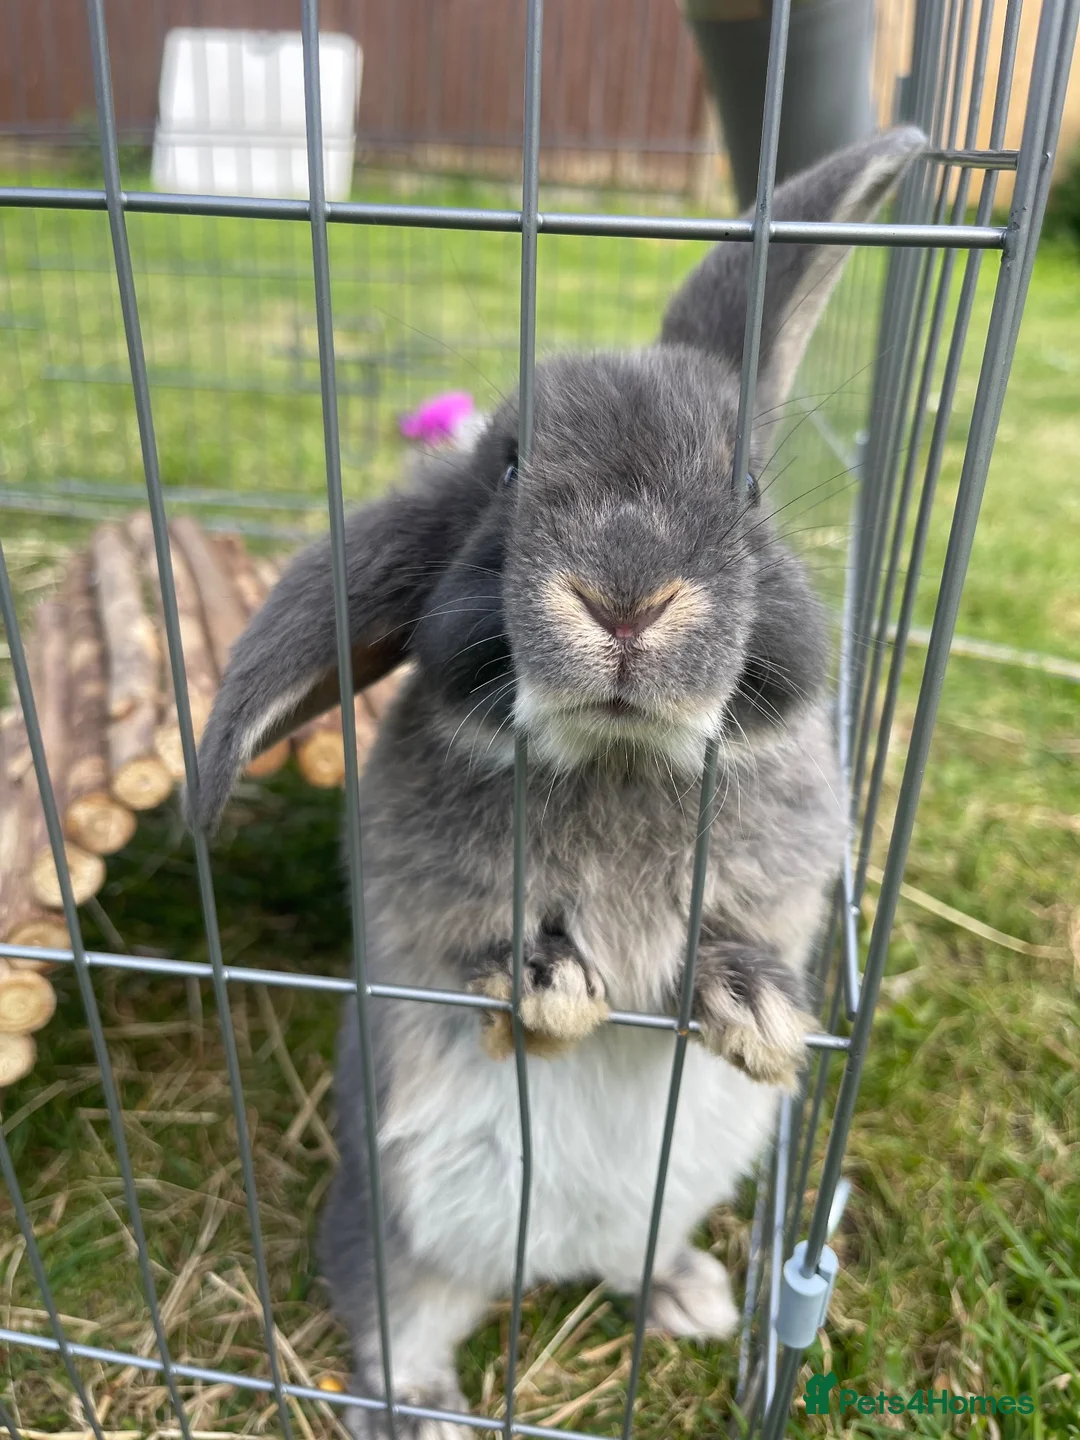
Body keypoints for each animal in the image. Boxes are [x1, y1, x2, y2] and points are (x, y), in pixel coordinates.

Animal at [194, 126, 925, 1438]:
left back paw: (693, 1299)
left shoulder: (783, 887)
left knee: (632, 1263)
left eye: (746, 487)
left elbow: (743, 939)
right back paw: (426, 1411)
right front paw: (552, 988)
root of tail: (560, 1257)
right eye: (508, 471)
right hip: (404, 1236)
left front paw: (758, 1019)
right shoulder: (422, 917)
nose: (625, 597)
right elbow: (481, 958)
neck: (622, 754)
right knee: (388, 1318)